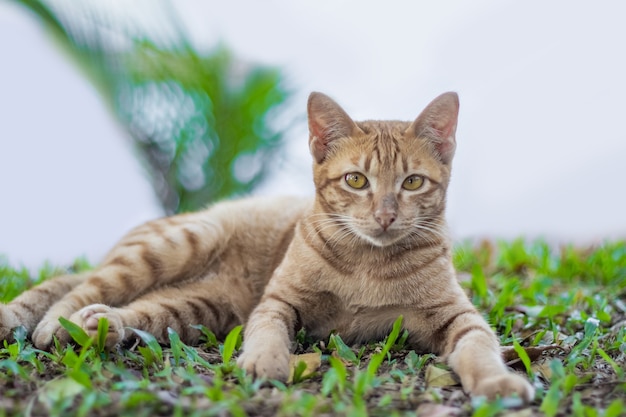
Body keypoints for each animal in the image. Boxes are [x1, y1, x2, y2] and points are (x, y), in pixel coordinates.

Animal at [1, 91, 532, 400]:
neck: (368, 264)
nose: (385, 216)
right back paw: (56, 325)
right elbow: (269, 331)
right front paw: (264, 361)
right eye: (356, 180)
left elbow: (479, 346)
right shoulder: (278, 302)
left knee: (135, 310)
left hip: (200, 308)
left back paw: (98, 326)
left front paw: (497, 382)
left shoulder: (456, 316)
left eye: (413, 182)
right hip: (182, 243)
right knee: (80, 284)